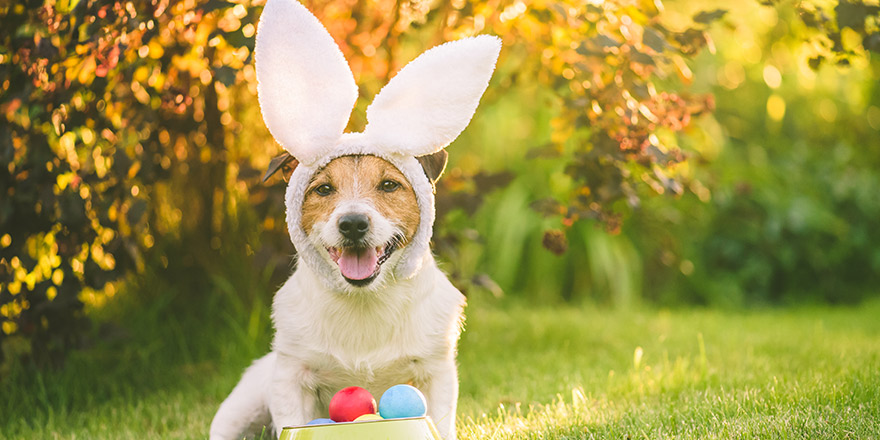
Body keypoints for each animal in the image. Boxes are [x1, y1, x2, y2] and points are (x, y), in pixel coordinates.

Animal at [205, 0, 496, 438]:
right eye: (324, 189)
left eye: (389, 185)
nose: (354, 224)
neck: (365, 302)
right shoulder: (290, 376)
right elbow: (292, 416)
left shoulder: (436, 372)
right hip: (244, 402)